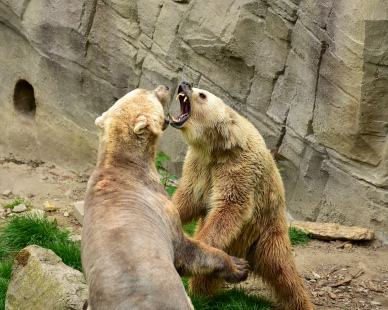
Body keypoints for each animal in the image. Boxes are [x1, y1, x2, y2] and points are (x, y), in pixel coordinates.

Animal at [81, 85, 249, 310]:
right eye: (150, 92)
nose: (166, 86)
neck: (123, 166)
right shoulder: (160, 208)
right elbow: (186, 253)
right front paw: (238, 266)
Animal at [171, 81, 316, 308]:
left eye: (202, 94)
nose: (184, 83)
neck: (217, 149)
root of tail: (248, 254)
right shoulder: (199, 166)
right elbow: (189, 197)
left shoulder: (238, 168)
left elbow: (230, 207)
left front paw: (200, 242)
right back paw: (202, 293)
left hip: (267, 233)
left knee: (284, 274)